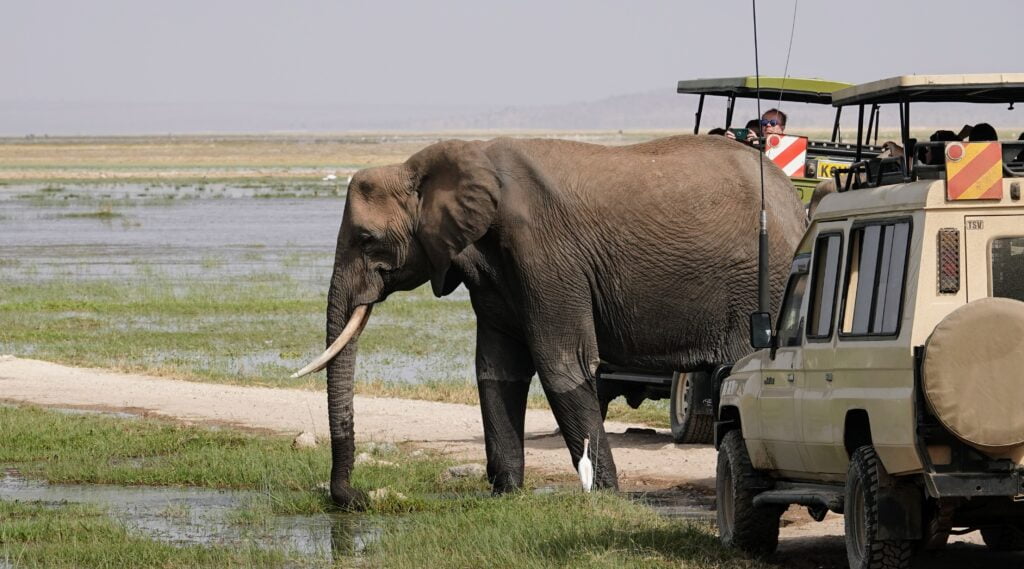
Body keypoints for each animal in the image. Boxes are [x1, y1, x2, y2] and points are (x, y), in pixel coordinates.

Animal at [294, 133, 806, 507]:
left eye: (366, 239)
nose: (354, 500)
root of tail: (795, 202)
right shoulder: (495, 272)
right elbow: (497, 370)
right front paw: (505, 495)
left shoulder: (545, 253)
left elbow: (562, 364)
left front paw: (603, 497)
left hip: (765, 282)